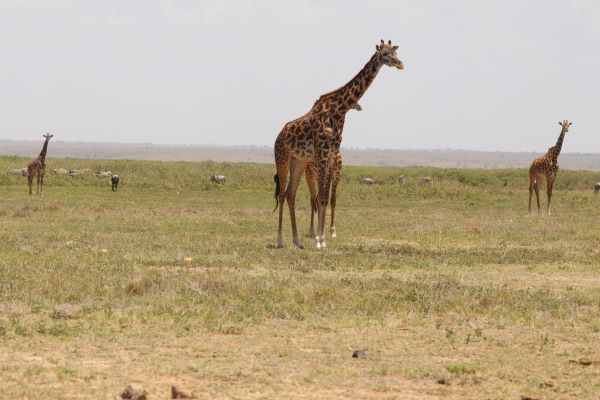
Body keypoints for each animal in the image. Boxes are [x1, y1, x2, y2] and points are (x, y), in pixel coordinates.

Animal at [308, 102, 364, 238]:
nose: (359, 106)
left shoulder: (337, 173)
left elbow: (332, 200)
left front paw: (333, 230)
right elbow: (323, 199)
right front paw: (321, 231)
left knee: (318, 198)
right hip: (310, 174)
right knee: (313, 199)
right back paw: (311, 230)